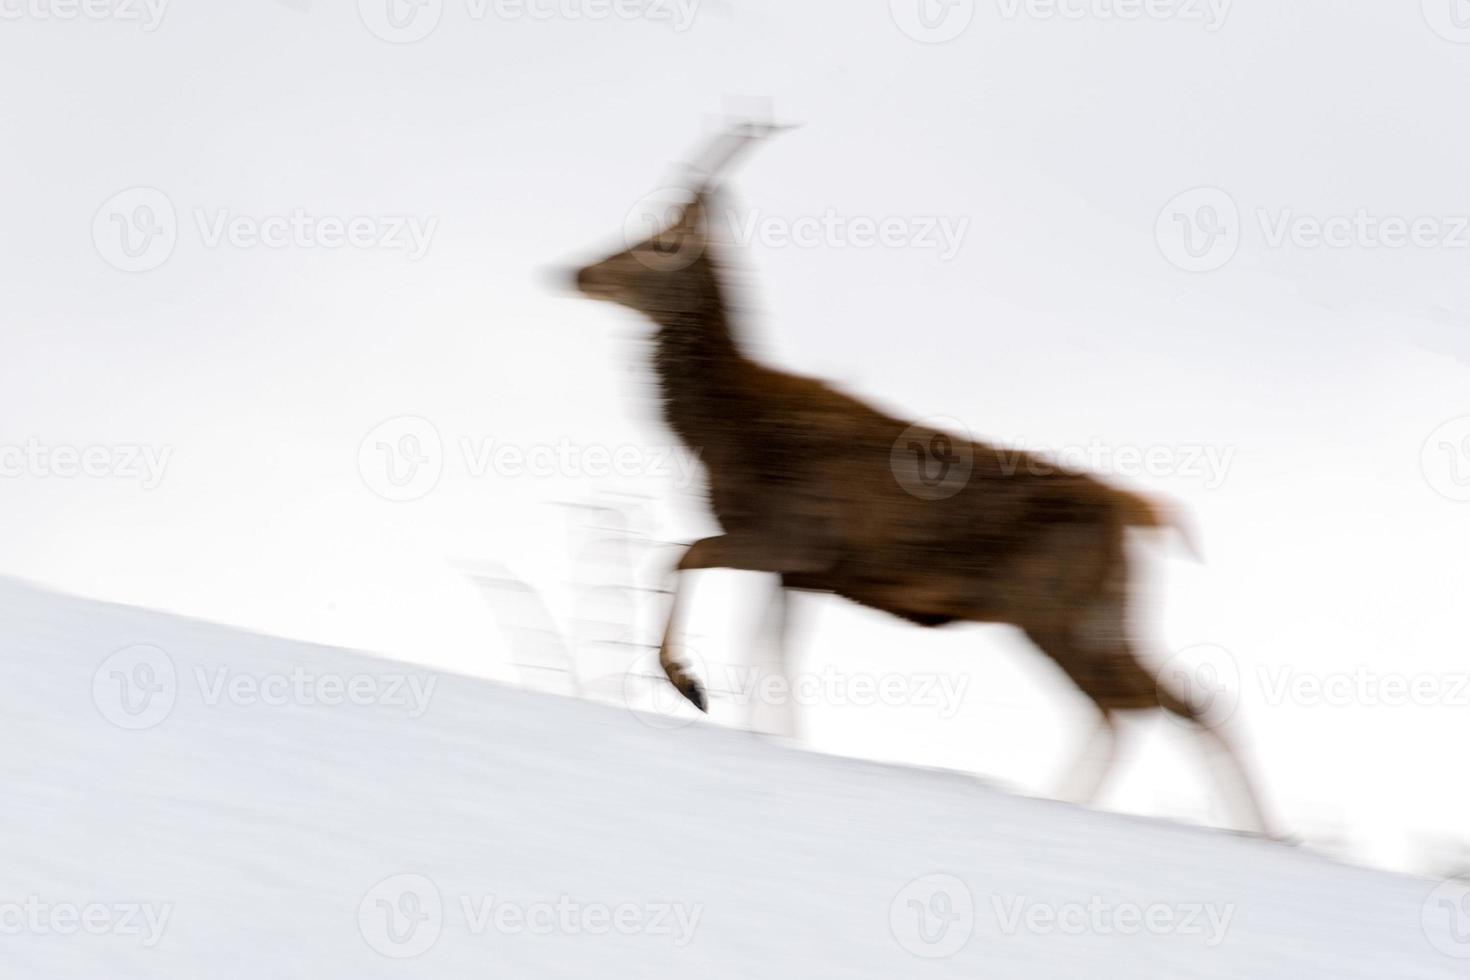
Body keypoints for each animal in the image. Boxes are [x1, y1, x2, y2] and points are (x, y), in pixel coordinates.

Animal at [568, 123, 1278, 837]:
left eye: (662, 242)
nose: (575, 272)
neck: (726, 433)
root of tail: (1140, 515)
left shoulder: (792, 536)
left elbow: (681, 555)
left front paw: (691, 684)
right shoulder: (803, 569)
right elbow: (772, 640)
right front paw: (775, 733)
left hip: (1057, 605)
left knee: (1147, 702)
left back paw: (1244, 829)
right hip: (1096, 609)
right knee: (1161, 701)